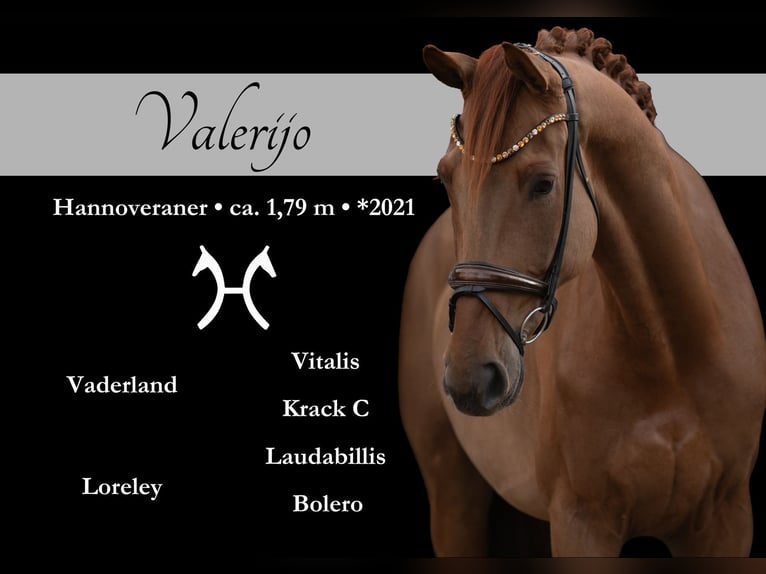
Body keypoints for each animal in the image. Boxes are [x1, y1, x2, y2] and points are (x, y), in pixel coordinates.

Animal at [398, 26, 766, 557]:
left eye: (543, 184)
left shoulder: (726, 520)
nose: (469, 378)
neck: (670, 352)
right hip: (453, 493)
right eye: (445, 178)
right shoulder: (582, 523)